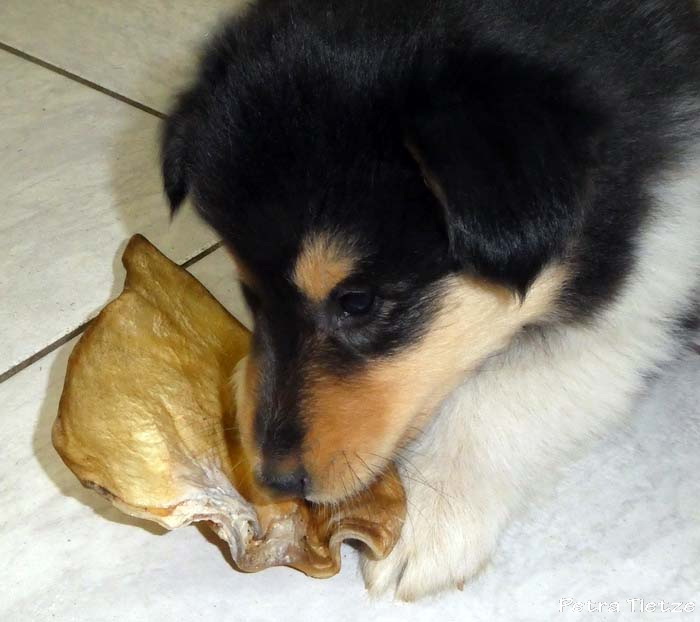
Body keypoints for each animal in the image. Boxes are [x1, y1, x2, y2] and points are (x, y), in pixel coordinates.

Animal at [161, 0, 700, 600]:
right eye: (249, 291)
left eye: (357, 302)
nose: (275, 481)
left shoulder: (652, 269)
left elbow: (521, 381)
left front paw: (429, 515)